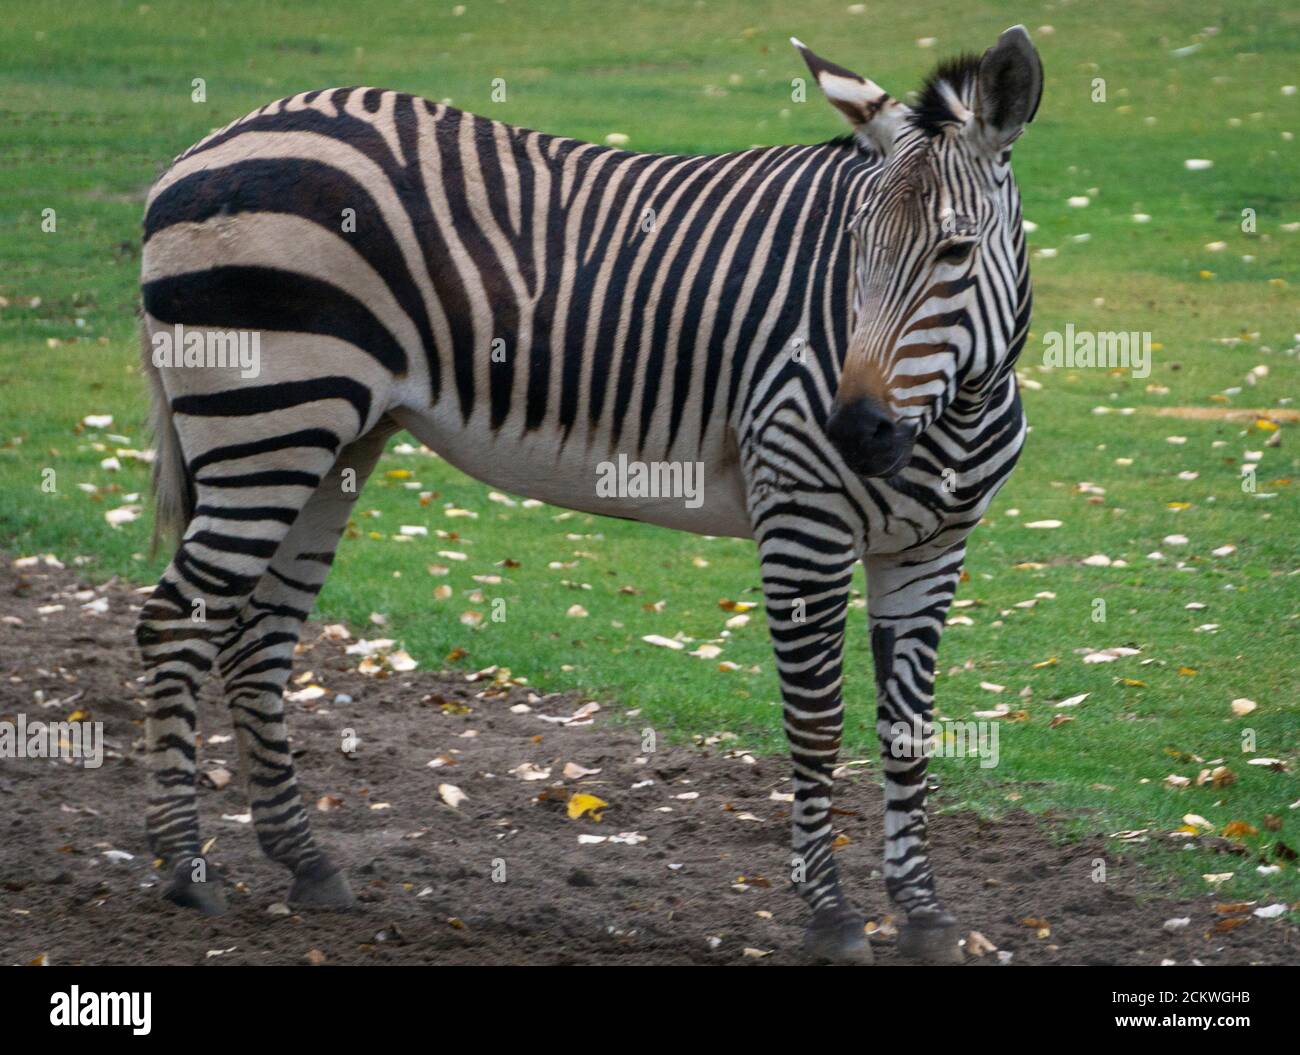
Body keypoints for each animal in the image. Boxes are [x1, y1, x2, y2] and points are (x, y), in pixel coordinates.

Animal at [136, 25, 1042, 964]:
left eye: (955, 251)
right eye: (852, 246)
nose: (857, 432)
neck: (957, 407)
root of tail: (210, 144)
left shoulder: (931, 549)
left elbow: (909, 733)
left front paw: (925, 914)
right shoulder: (803, 520)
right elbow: (817, 723)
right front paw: (831, 915)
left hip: (334, 442)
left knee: (257, 640)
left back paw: (306, 862)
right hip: (268, 424)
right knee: (176, 621)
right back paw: (185, 869)